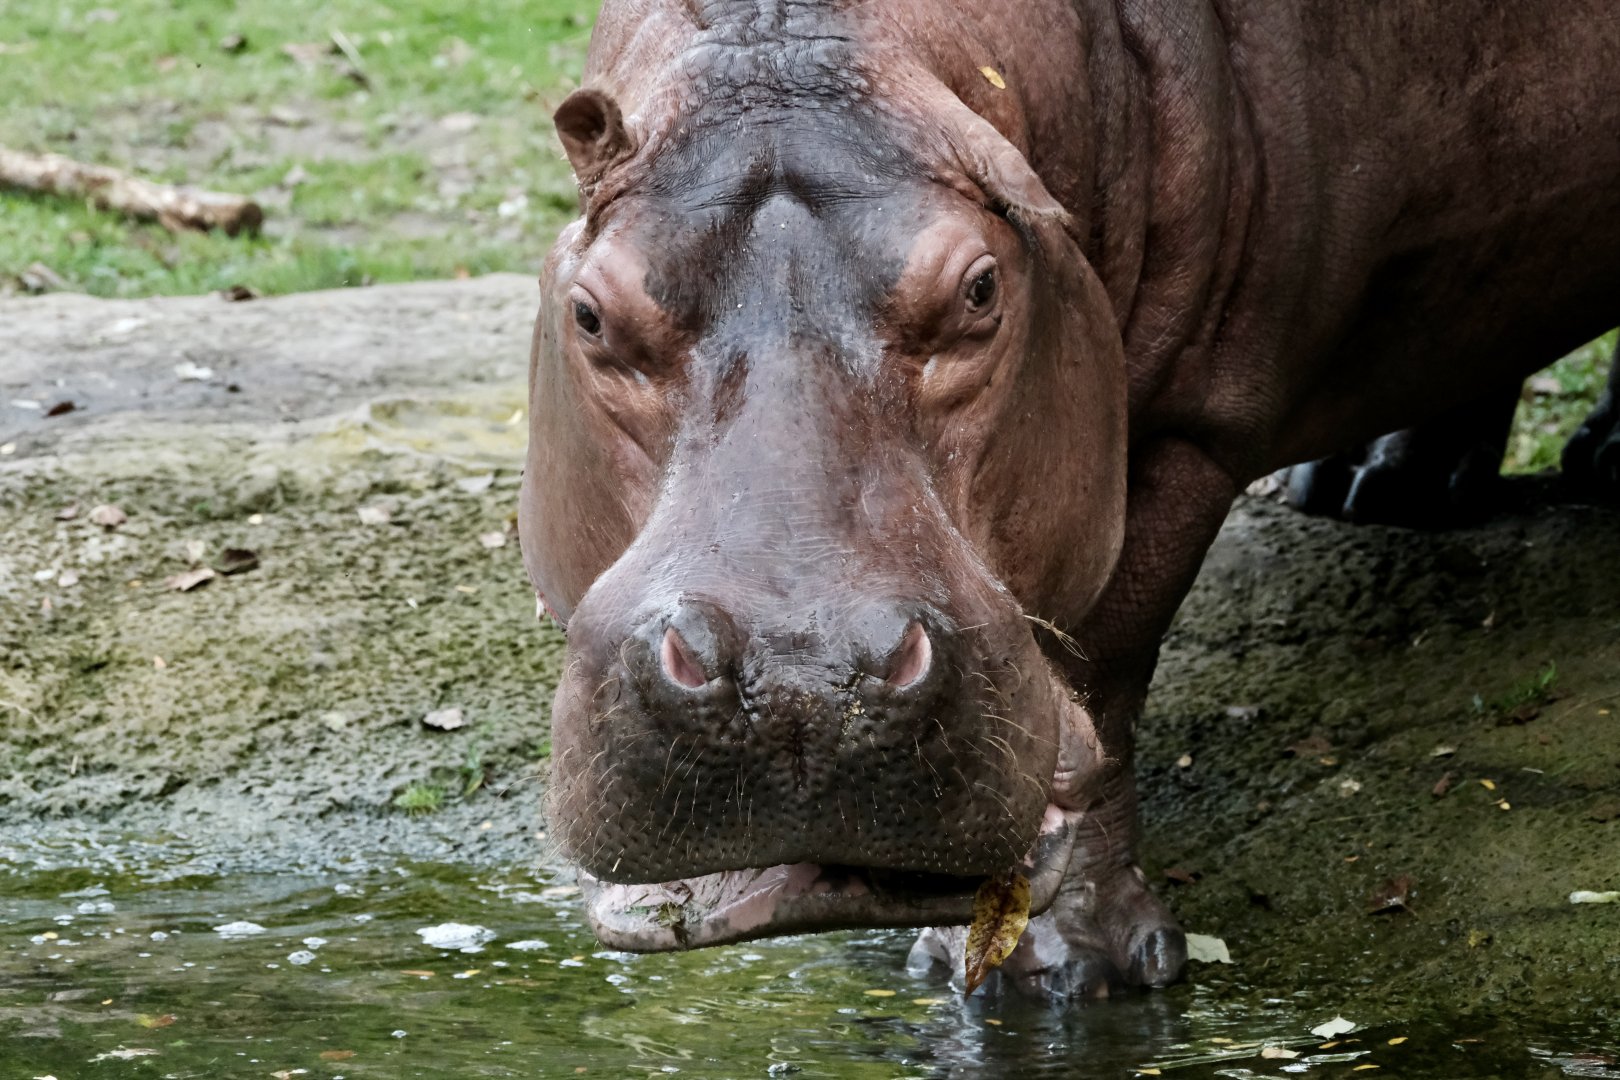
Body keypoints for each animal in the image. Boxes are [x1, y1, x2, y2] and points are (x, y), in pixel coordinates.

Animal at [519, 0, 1620, 1000]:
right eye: (590, 313)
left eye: (979, 289)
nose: (800, 685)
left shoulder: (1194, 426)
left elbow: (1105, 664)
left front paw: (1059, 966)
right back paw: (1376, 488)